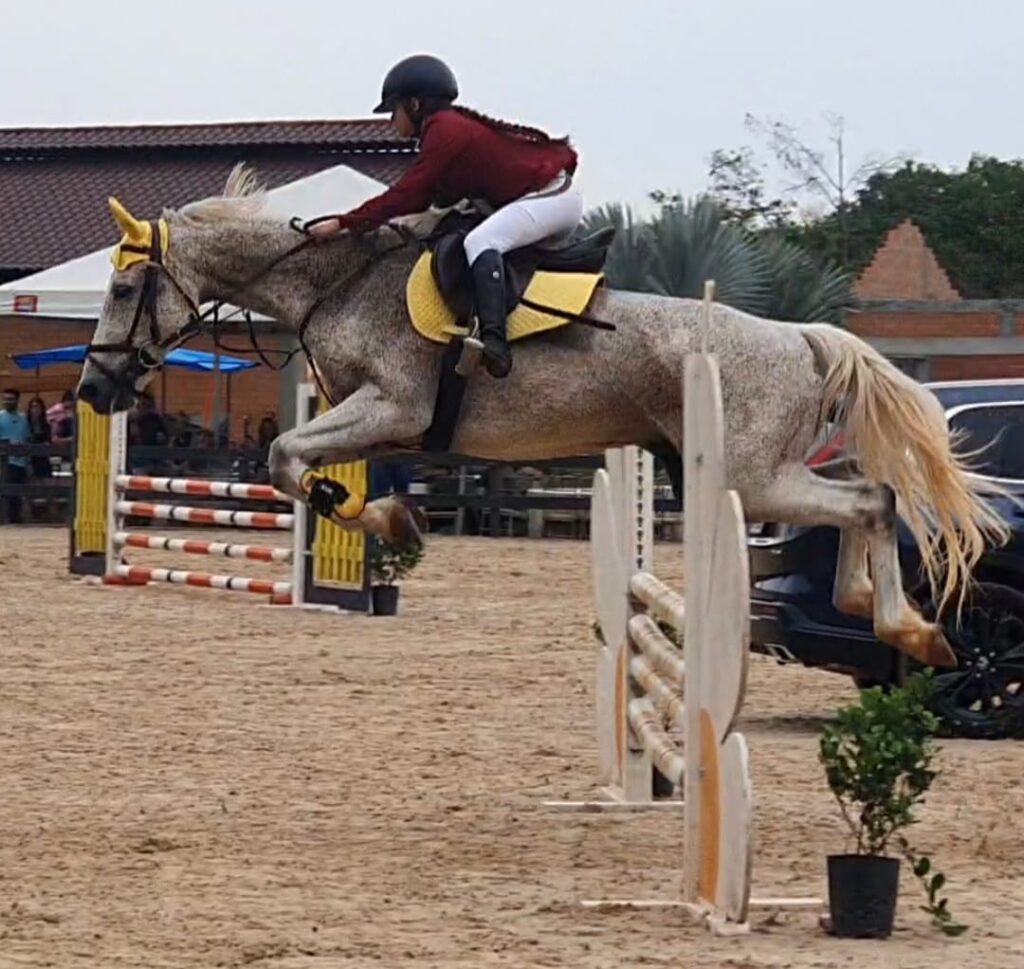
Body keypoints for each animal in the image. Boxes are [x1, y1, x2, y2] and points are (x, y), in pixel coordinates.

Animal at [77, 165, 1007, 667]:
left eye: (123, 290)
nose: (92, 391)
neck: (338, 282)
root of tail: (803, 338)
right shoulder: (378, 420)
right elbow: (298, 466)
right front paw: (392, 516)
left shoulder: (390, 405)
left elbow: (281, 457)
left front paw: (393, 521)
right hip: (770, 471)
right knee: (868, 497)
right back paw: (885, 613)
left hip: (756, 476)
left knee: (873, 501)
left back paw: (904, 625)